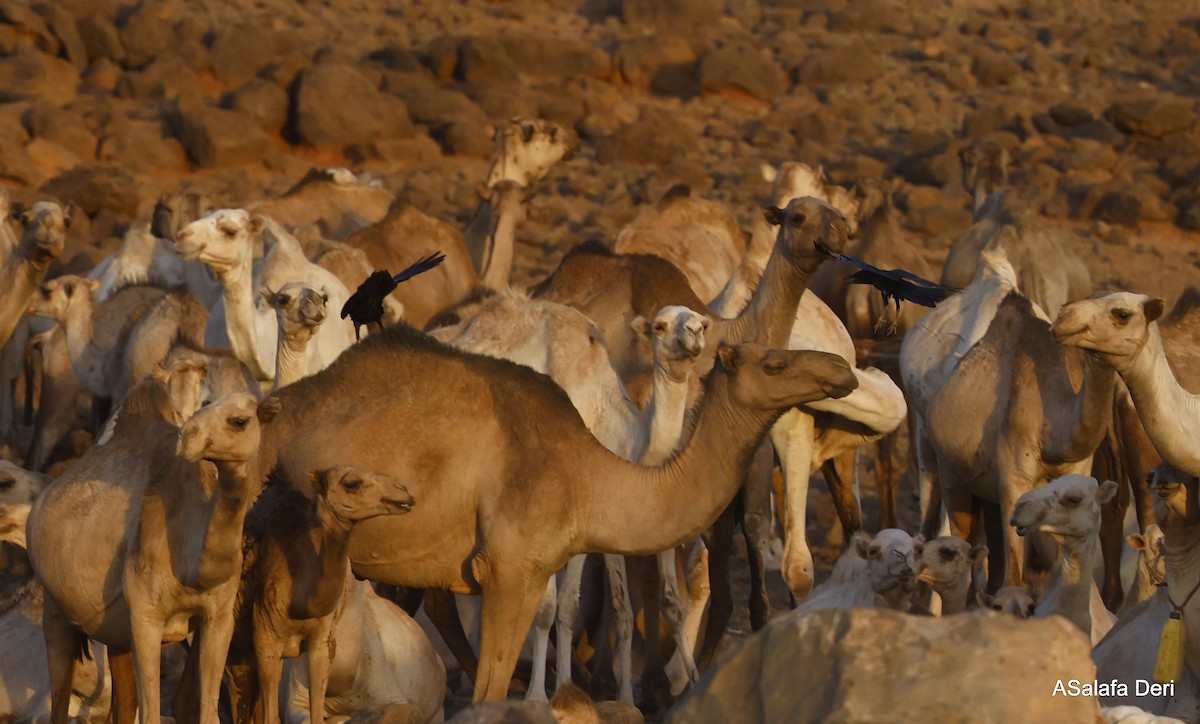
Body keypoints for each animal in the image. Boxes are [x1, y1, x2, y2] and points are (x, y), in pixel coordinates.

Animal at [258, 328, 859, 701]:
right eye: (774, 362)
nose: (842, 368)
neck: (587, 478)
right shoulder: (503, 569)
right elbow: (489, 690)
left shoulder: (531, 572)